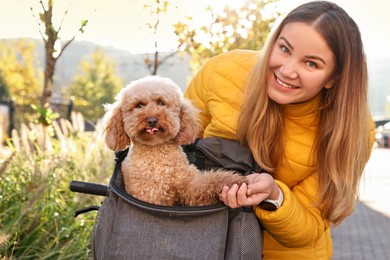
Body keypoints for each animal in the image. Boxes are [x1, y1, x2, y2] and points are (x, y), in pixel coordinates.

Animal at [102, 75, 245, 207]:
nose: (152, 120)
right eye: (139, 105)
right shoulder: (150, 195)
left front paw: (235, 181)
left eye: (161, 103)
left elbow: (210, 181)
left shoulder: (188, 185)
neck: (157, 152)